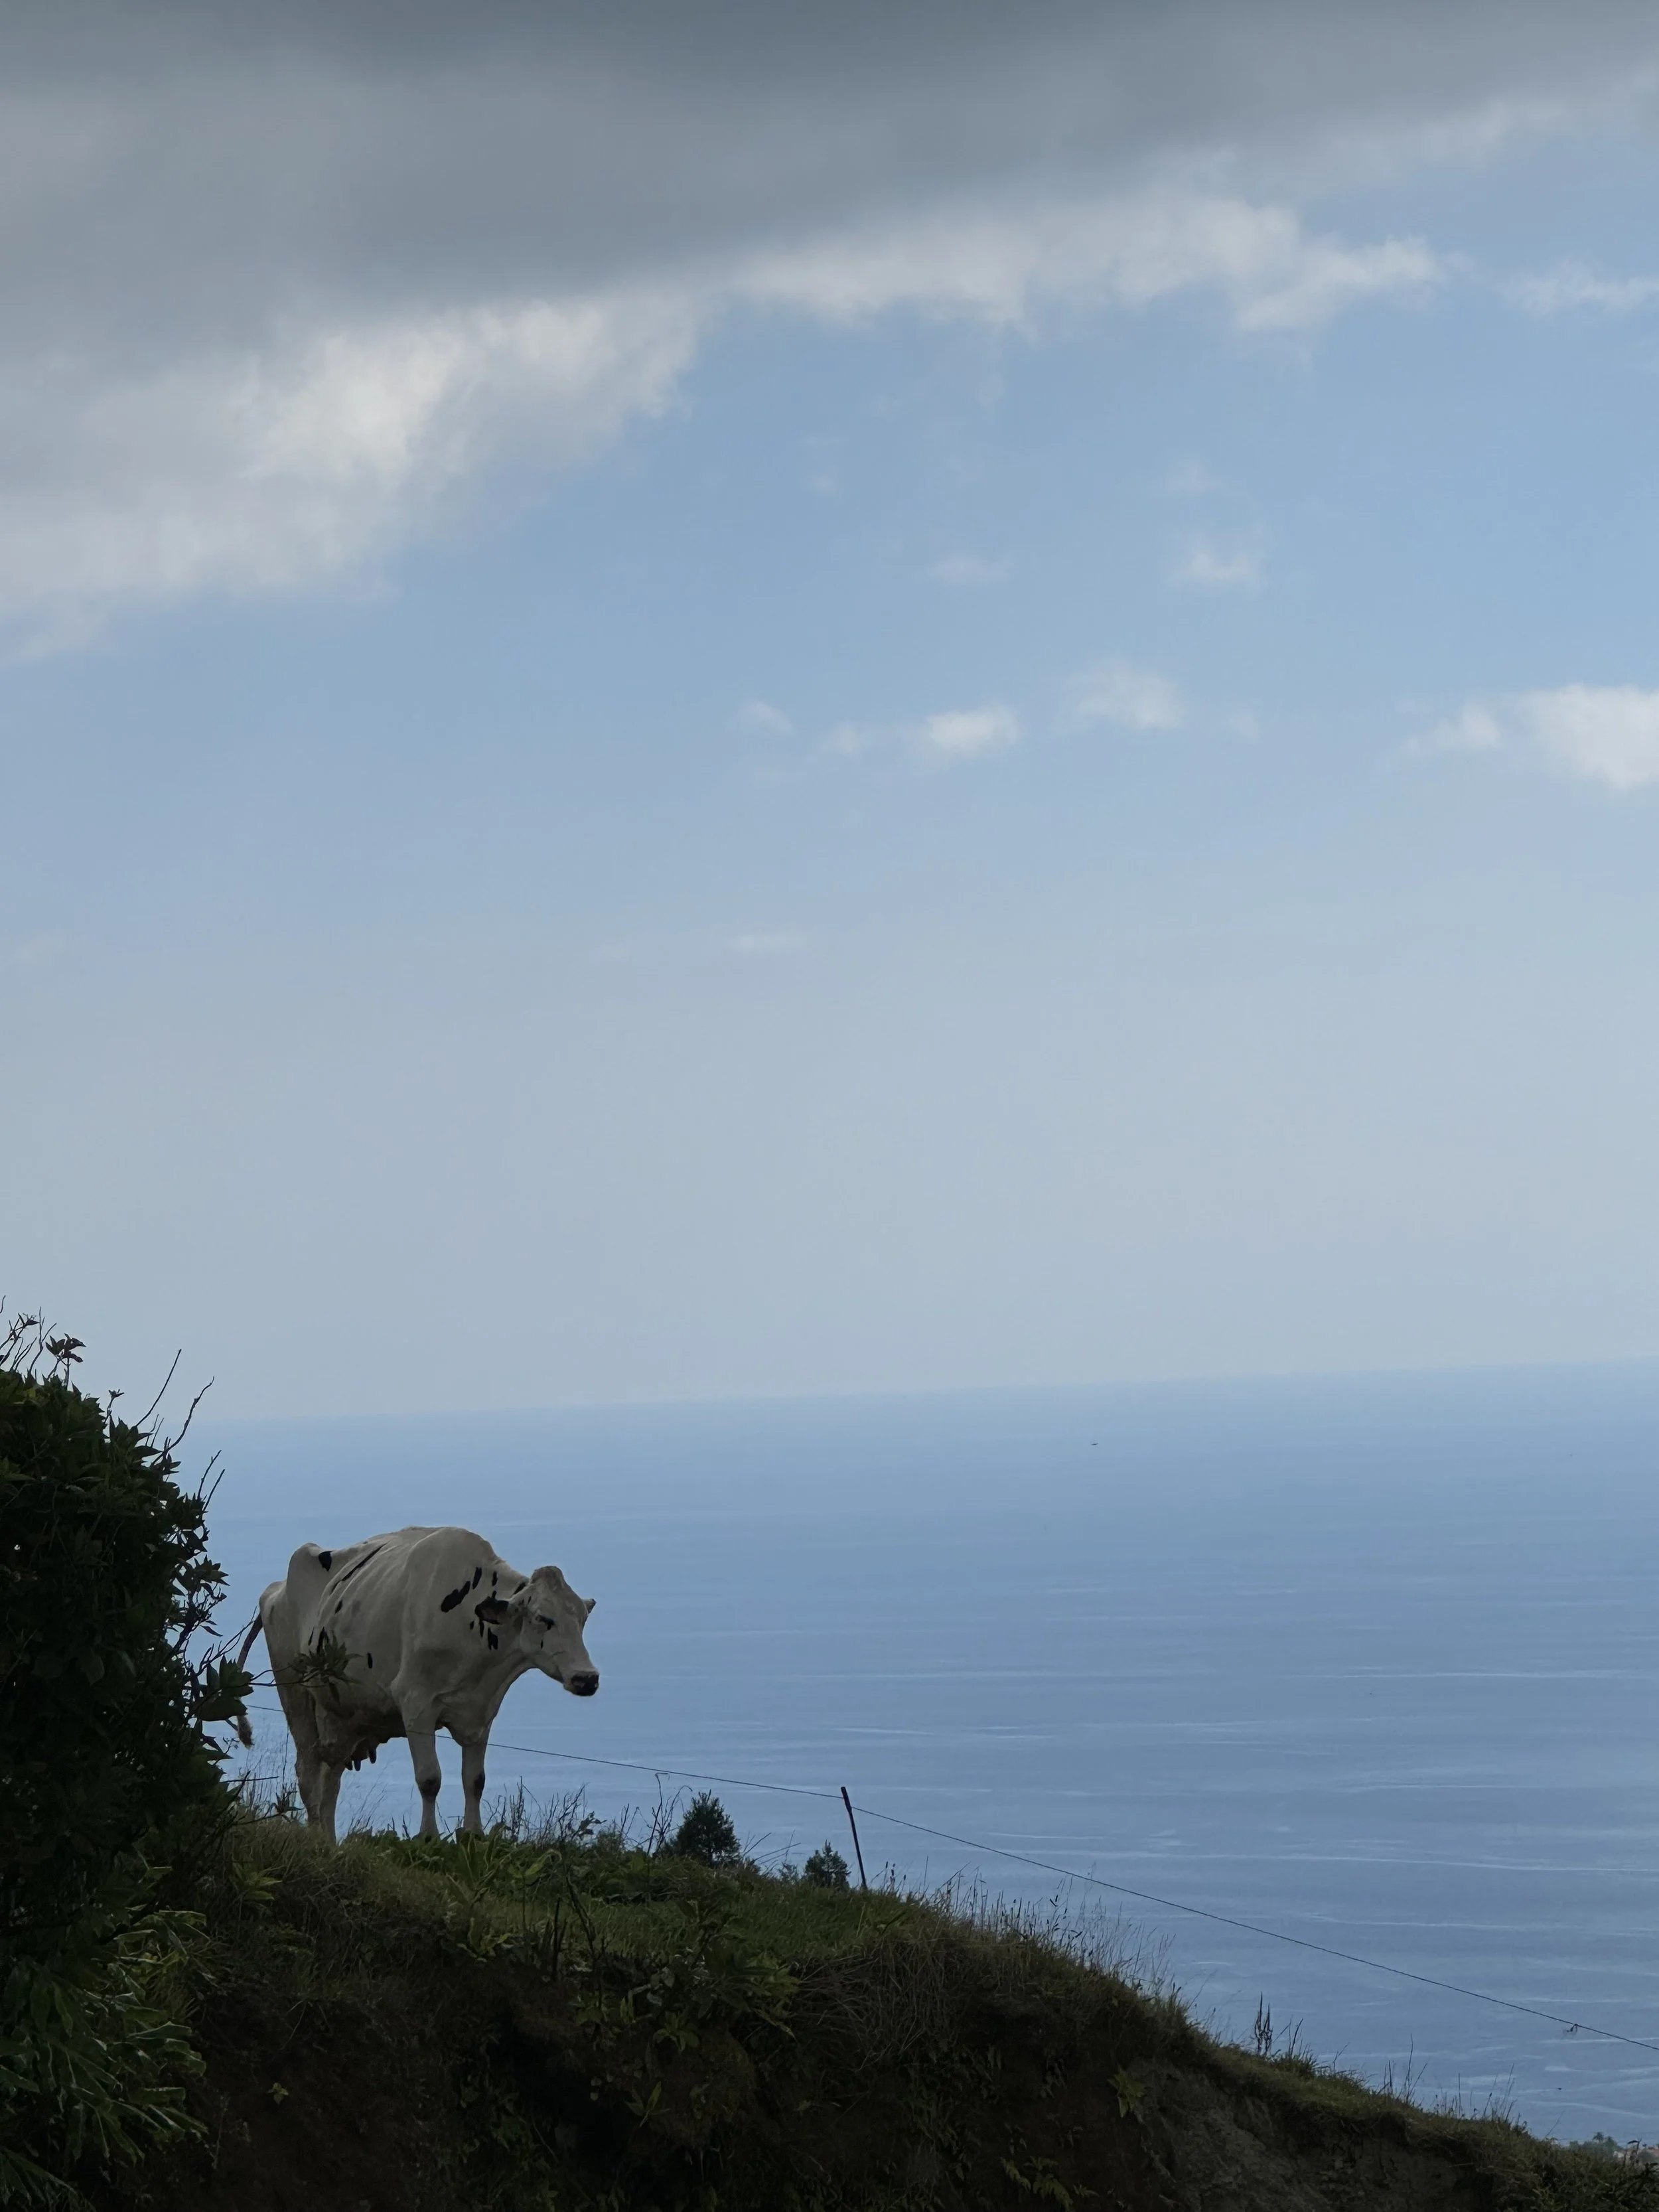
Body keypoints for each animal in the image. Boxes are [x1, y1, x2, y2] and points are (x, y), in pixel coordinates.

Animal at [237, 1525, 599, 1843]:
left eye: (582, 1620)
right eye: (542, 1618)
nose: (587, 1677)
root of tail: (276, 1588)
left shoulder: (481, 1711)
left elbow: (475, 1780)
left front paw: (474, 1836)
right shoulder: (416, 1703)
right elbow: (429, 1778)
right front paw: (428, 1837)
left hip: (339, 1715)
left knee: (332, 1775)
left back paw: (329, 1841)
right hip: (294, 1692)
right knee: (308, 1771)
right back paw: (314, 1840)